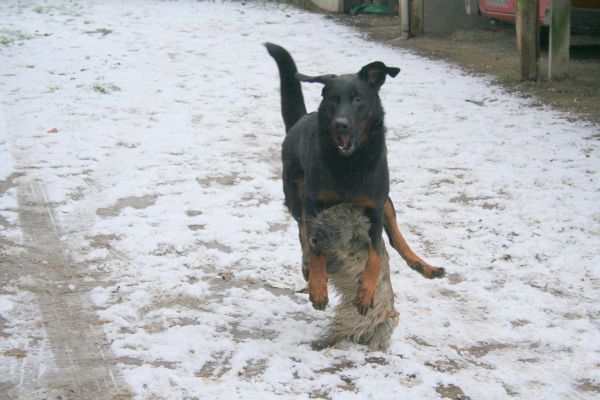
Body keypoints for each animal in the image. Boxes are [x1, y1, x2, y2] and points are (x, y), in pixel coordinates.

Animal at [264, 43, 442, 316]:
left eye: (358, 99)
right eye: (333, 99)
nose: (341, 124)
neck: (349, 162)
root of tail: (300, 120)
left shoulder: (375, 207)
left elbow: (376, 254)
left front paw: (367, 293)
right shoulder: (314, 203)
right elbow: (316, 247)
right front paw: (318, 288)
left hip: (387, 201)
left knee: (396, 238)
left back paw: (423, 265)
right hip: (295, 193)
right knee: (302, 232)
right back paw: (307, 268)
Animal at [310, 205, 398, 352]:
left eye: (336, 231)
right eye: (323, 219)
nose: (314, 239)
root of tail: (385, 315)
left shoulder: (347, 263)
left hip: (353, 317)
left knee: (340, 332)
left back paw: (321, 343)